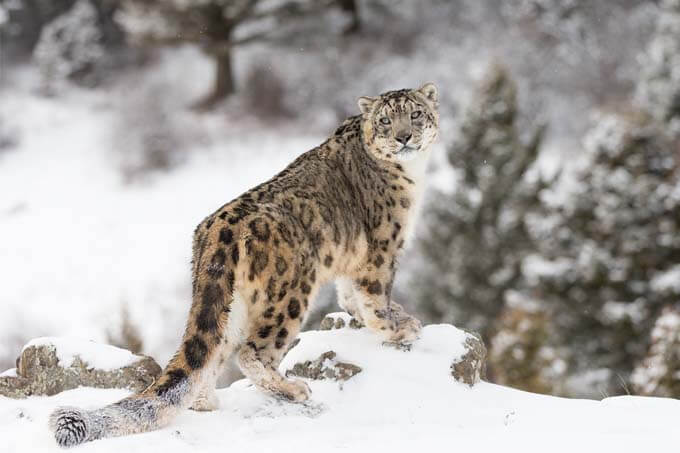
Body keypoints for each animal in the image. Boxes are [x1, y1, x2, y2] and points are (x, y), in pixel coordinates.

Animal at [49, 83, 440, 447]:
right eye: (386, 120)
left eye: (415, 114)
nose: (403, 136)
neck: (412, 175)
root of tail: (216, 230)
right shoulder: (382, 249)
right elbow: (375, 298)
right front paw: (398, 328)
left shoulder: (352, 260)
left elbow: (349, 296)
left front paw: (383, 318)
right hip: (291, 294)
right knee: (252, 352)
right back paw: (293, 389)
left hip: (229, 304)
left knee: (213, 353)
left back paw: (207, 402)